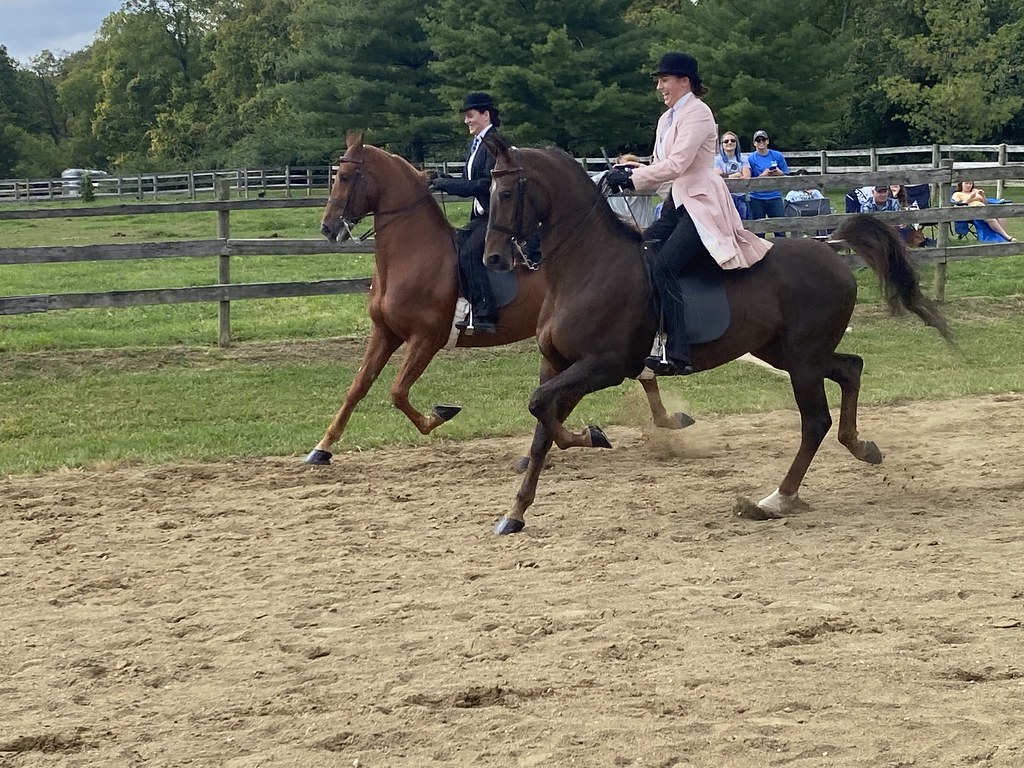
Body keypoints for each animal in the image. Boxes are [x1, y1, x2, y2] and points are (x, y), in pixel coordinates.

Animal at [305, 131, 693, 465]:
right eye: (335, 176)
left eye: (346, 176)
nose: (328, 228)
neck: (413, 253)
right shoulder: (385, 333)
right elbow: (358, 387)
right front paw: (321, 448)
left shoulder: (425, 338)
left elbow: (397, 391)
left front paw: (440, 414)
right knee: (640, 373)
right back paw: (666, 420)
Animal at [481, 131, 953, 535]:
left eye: (505, 193)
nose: (492, 259)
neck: (587, 268)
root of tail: (832, 249)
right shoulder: (557, 364)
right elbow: (541, 426)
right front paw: (515, 513)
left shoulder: (603, 367)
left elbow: (542, 410)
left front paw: (591, 436)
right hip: (789, 353)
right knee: (851, 368)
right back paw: (860, 447)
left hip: (802, 360)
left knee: (816, 420)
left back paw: (776, 499)